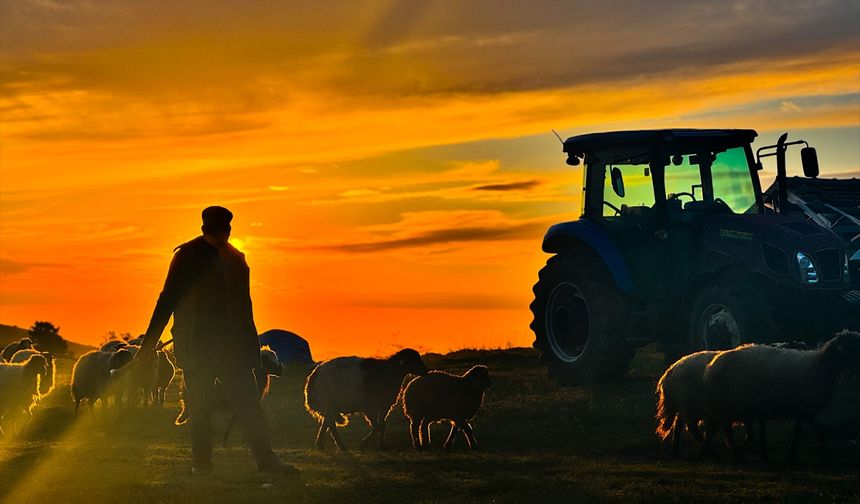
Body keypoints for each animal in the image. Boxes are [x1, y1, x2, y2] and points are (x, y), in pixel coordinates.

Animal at [306, 348, 434, 450]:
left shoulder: (384, 407)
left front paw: (381, 446)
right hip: (328, 402)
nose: (425, 371)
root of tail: (314, 375)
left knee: (327, 423)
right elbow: (377, 426)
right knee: (330, 425)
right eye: (413, 359)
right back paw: (338, 446)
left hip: (331, 405)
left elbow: (382, 425)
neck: (390, 372)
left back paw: (323, 445)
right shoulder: (370, 407)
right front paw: (362, 445)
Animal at [704, 328, 860, 462]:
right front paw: (793, 456)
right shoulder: (802, 408)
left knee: (725, 428)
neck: (820, 365)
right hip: (726, 404)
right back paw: (729, 451)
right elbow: (800, 433)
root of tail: (713, 364)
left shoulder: (803, 410)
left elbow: (814, 430)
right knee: (724, 429)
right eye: (852, 347)